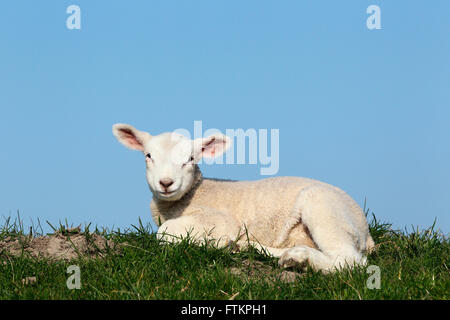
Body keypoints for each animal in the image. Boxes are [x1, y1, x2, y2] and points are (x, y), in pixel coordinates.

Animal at [113, 122, 376, 272]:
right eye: (148, 155)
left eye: (190, 159)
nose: (166, 183)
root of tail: (366, 232)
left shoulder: (219, 220)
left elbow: (163, 233)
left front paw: (210, 242)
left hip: (324, 209)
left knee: (350, 261)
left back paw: (300, 260)